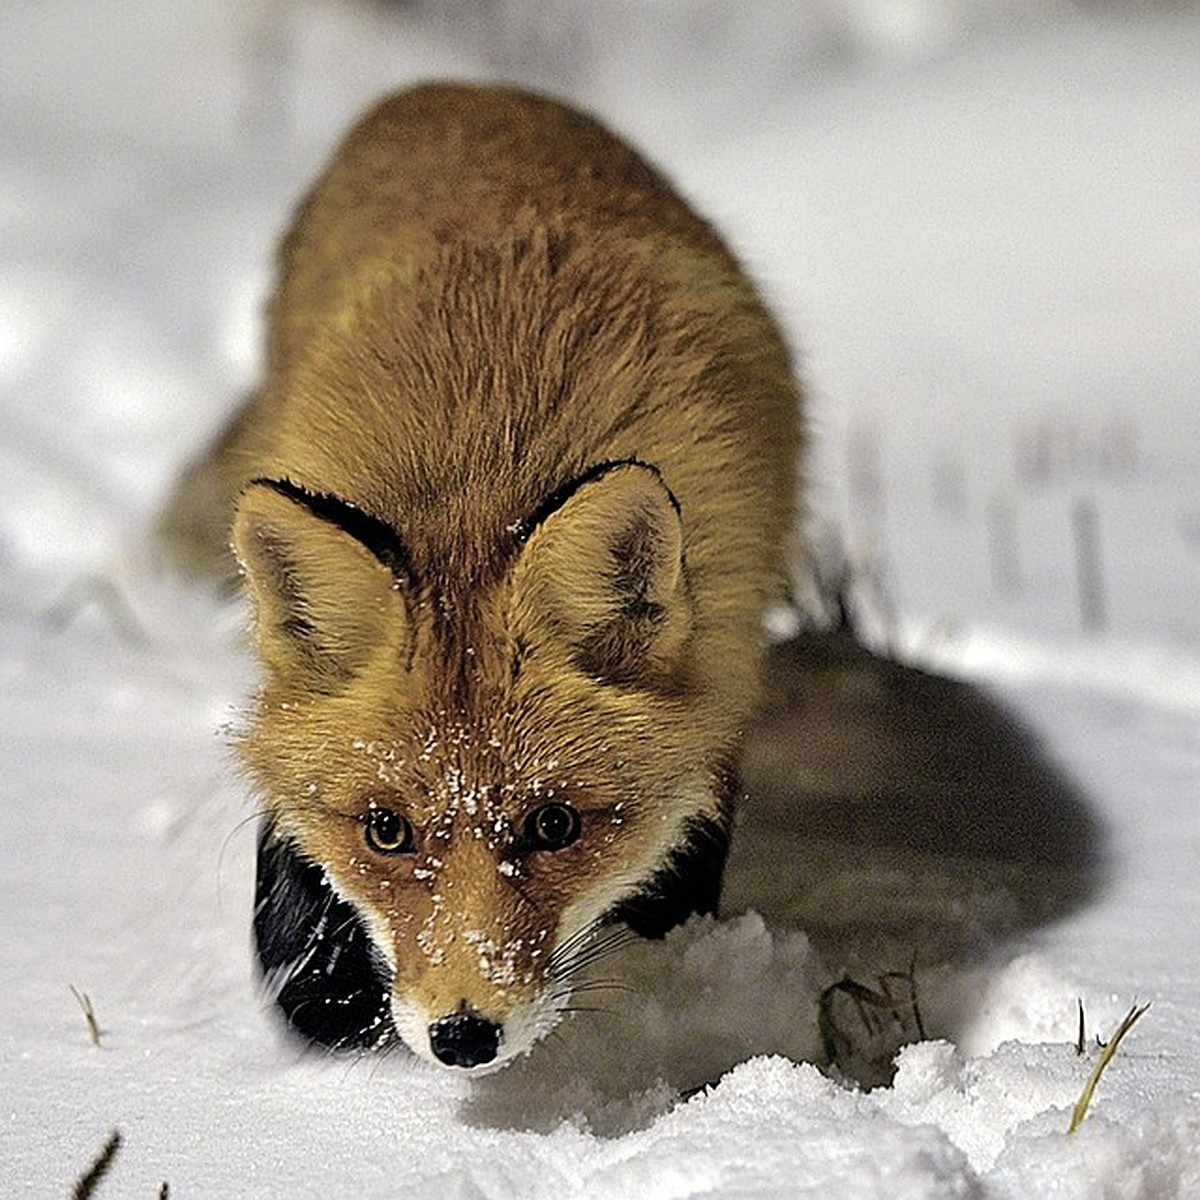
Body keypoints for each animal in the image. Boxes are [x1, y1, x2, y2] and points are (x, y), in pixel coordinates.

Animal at [159, 84, 796, 1070]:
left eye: (554, 825)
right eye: (386, 830)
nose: (463, 1036)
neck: (487, 463)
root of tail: (444, 89)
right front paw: (322, 990)